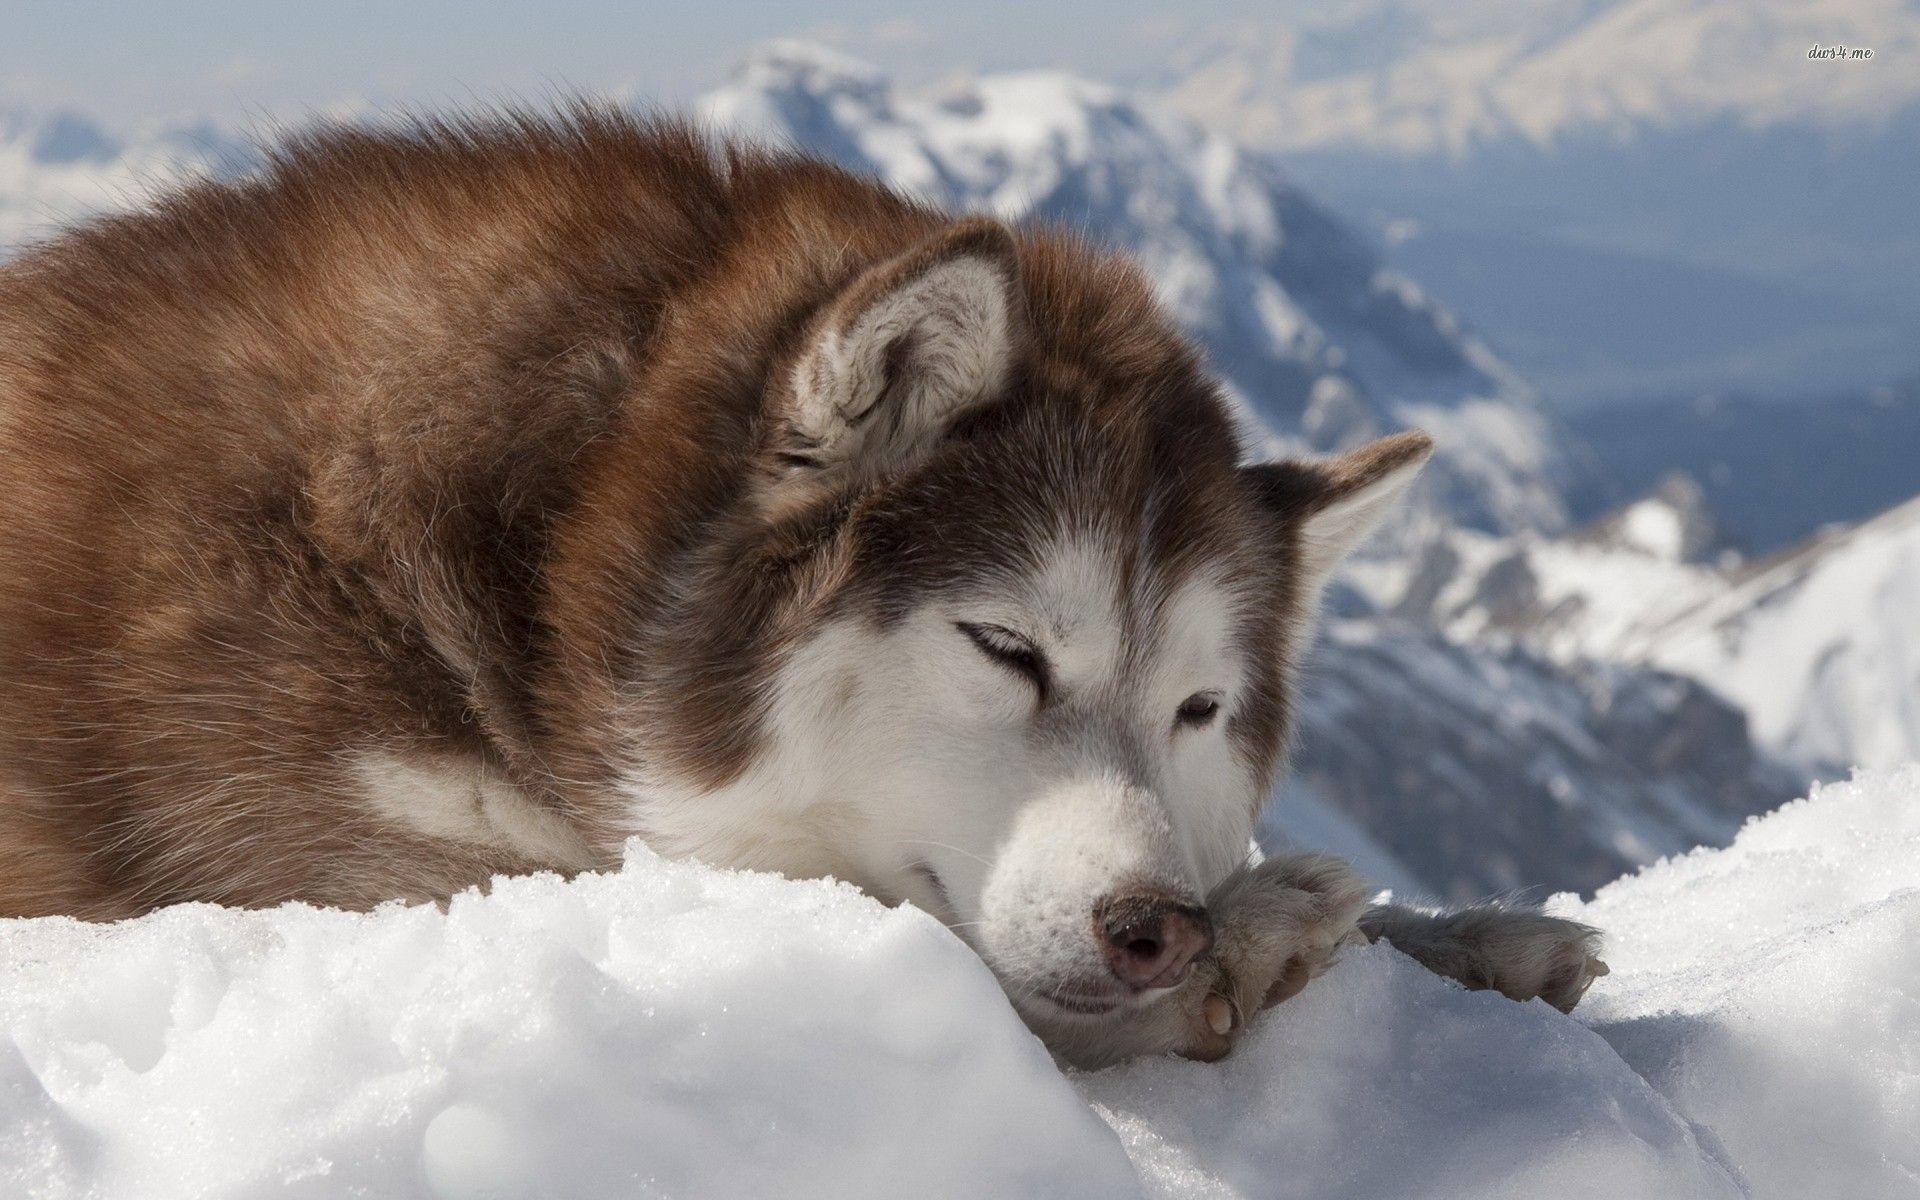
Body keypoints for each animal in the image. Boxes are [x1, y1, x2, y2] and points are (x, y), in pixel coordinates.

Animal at [0, 112, 1597, 1059]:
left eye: (1200, 710)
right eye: (1007, 648)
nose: (1157, 927)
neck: (549, 555)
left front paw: (1471, 935)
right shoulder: (339, 877)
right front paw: (1264, 937)